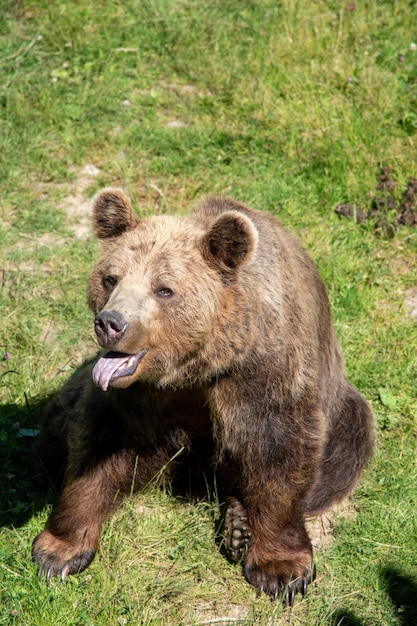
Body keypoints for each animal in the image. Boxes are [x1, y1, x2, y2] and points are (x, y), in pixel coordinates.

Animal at [32, 186, 374, 604]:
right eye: (110, 278)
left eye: (164, 288)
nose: (111, 323)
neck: (194, 367)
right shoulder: (137, 395)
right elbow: (97, 447)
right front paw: (60, 550)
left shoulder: (259, 373)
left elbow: (278, 448)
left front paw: (282, 569)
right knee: (53, 434)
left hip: (343, 407)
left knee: (342, 453)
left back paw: (240, 524)